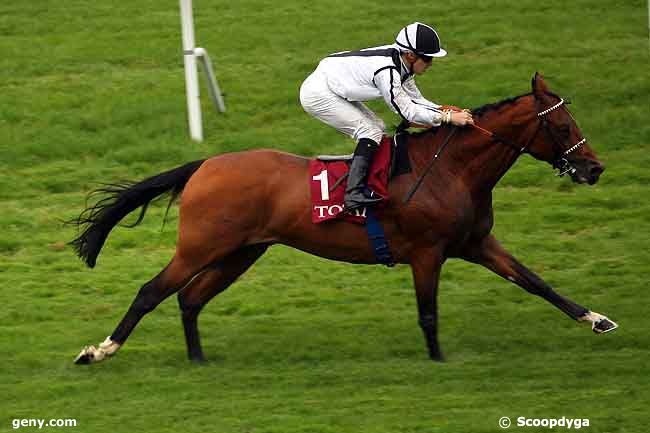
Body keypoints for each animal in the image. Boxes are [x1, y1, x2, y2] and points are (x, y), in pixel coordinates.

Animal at [73, 72, 616, 362]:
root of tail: (205, 164)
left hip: (241, 252)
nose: (594, 168)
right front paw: (439, 360)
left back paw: (199, 360)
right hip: (201, 246)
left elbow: (537, 282)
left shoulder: (477, 244)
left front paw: (597, 319)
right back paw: (98, 351)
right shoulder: (427, 253)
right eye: (562, 125)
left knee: (189, 299)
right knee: (152, 292)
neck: (452, 171)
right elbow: (428, 311)